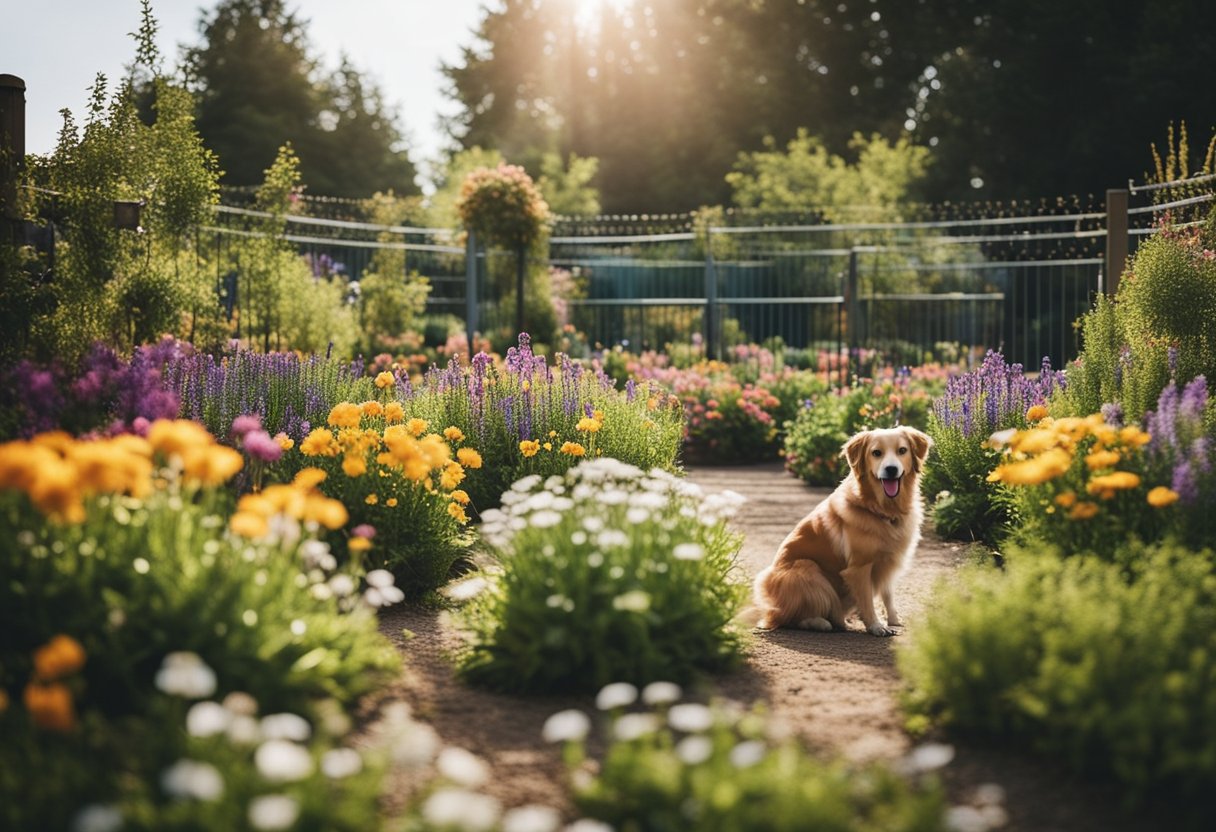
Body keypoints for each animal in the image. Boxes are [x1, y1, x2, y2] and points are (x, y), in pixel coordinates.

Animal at [753, 428, 933, 637]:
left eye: (902, 450)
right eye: (876, 453)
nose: (891, 469)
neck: (881, 509)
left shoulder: (888, 561)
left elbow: (888, 595)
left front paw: (894, 620)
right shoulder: (859, 567)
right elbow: (867, 600)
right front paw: (875, 625)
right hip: (806, 569)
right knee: (789, 618)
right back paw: (821, 622)